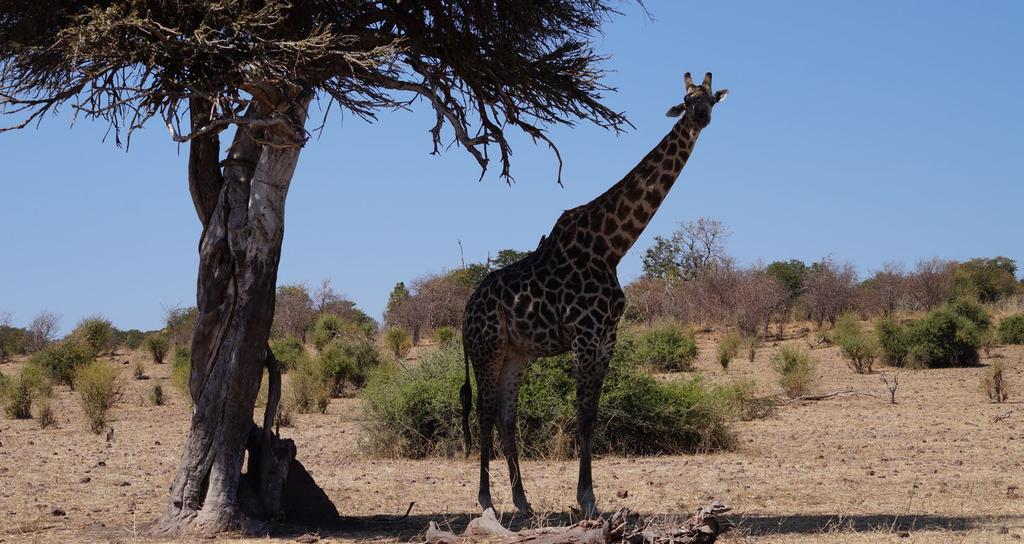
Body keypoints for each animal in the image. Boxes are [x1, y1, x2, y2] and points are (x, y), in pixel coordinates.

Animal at [460, 72, 724, 520]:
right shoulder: (584, 333)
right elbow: (581, 414)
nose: (701, 117)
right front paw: (586, 499)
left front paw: (589, 496)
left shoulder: (607, 336)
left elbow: (593, 415)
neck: (611, 246)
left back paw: (523, 501)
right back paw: (486, 502)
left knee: (506, 416)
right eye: (687, 100)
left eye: (712, 100)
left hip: (515, 354)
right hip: (487, 348)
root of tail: (464, 312)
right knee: (484, 412)